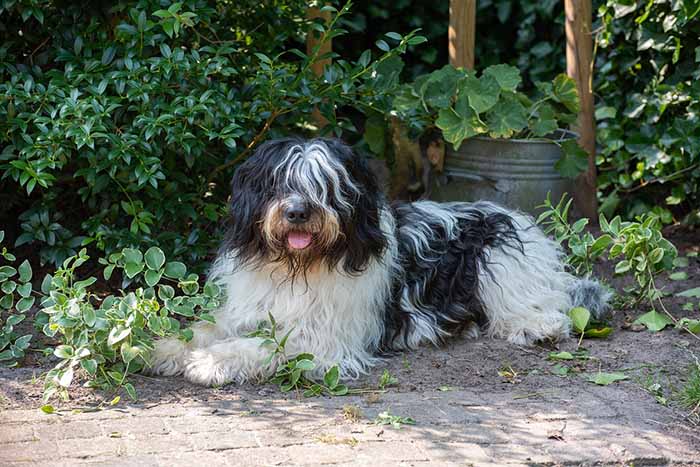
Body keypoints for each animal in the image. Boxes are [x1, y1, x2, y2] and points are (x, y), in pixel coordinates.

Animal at [150, 137, 608, 386]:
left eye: (327, 185)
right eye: (278, 182)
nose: (297, 212)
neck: (300, 266)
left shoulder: (323, 340)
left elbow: (262, 346)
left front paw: (211, 362)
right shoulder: (247, 310)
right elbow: (206, 328)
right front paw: (166, 346)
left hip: (497, 261)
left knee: (546, 307)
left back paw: (538, 326)